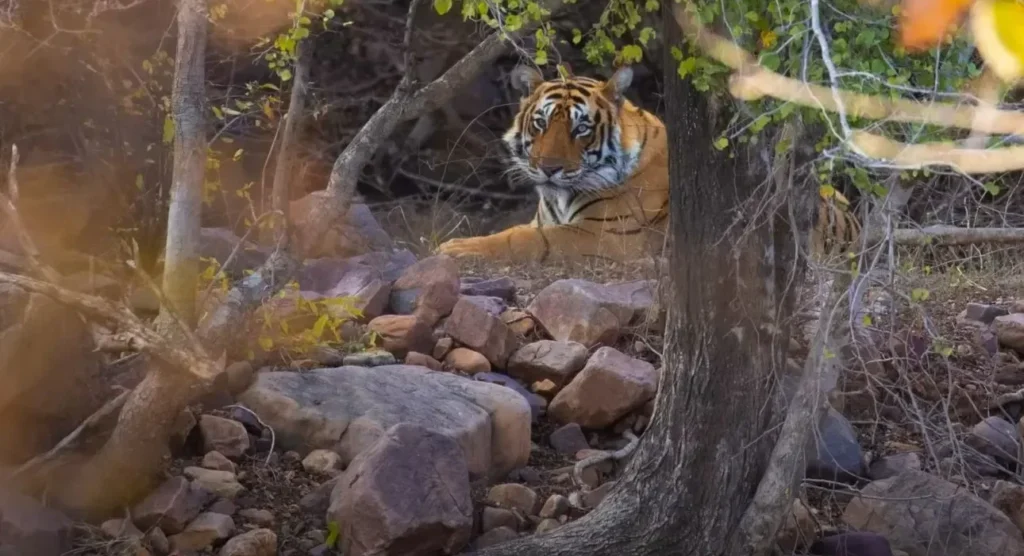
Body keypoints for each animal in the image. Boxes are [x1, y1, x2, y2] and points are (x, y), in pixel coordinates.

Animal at [436, 64, 860, 264]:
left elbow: (525, 240)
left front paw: (455, 248)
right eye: (541, 123)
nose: (549, 168)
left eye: (580, 129)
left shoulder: (607, 237)